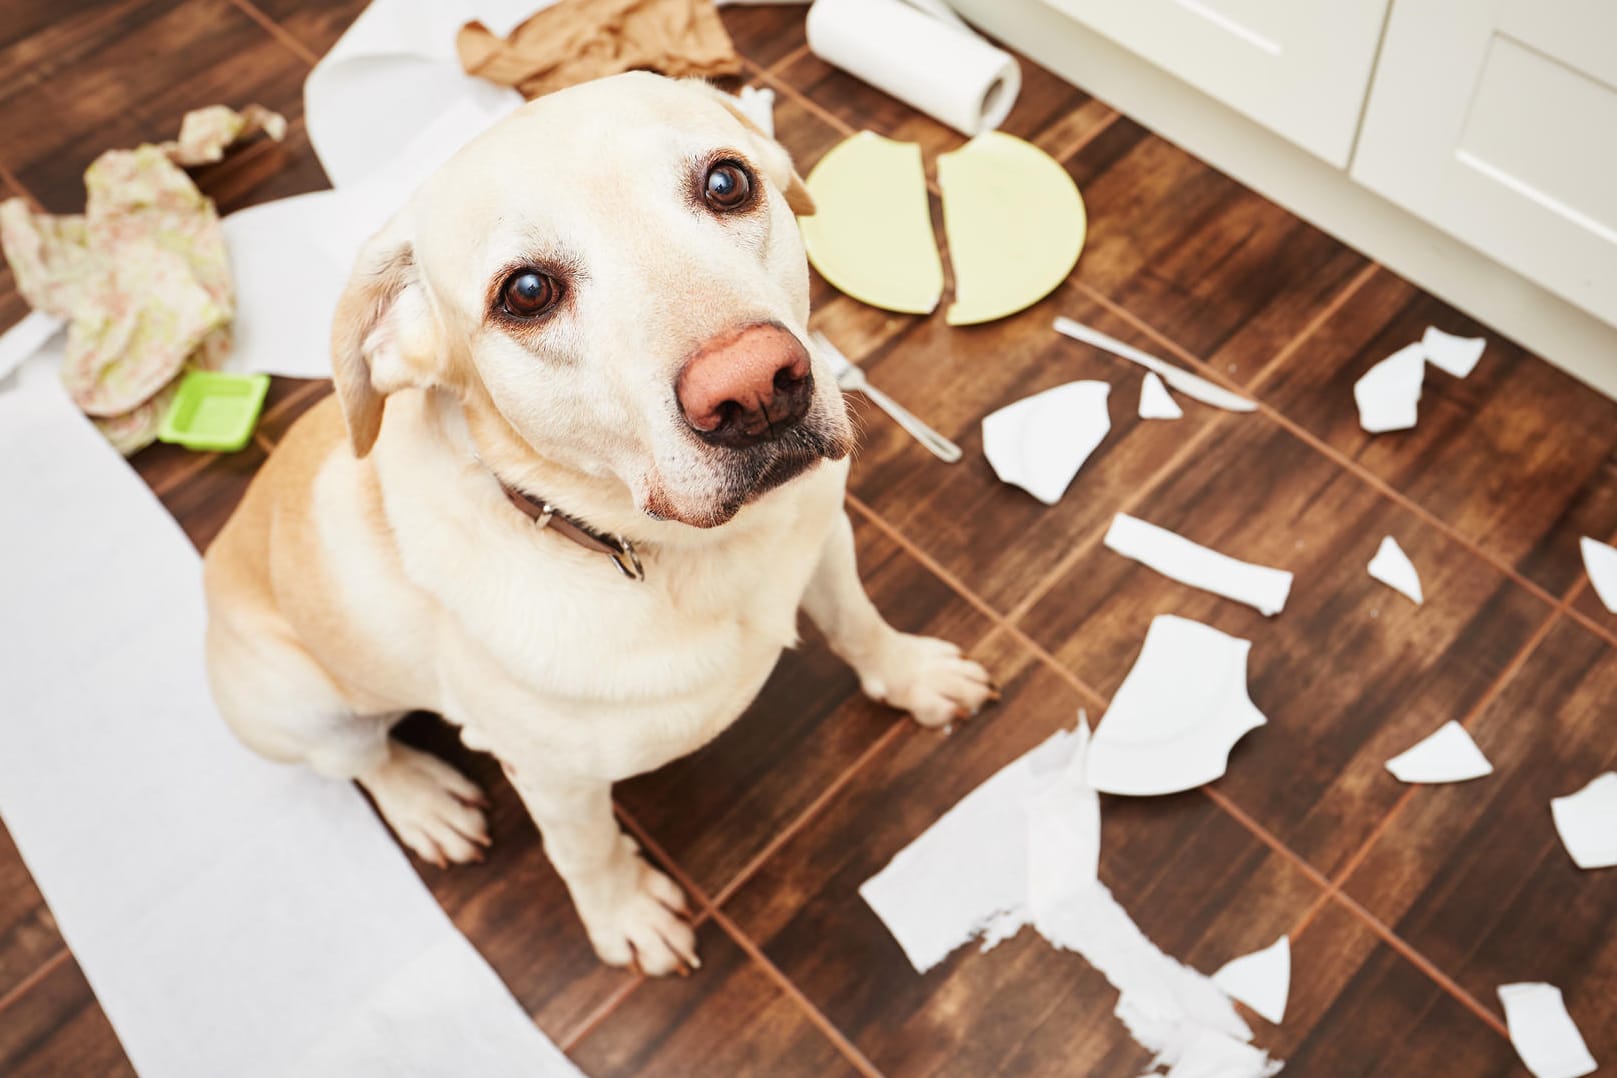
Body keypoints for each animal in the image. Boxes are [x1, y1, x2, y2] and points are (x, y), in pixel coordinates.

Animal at [208, 71, 989, 976]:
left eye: (727, 182)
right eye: (526, 293)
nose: (754, 388)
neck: (688, 551)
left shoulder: (824, 544)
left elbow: (860, 624)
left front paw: (912, 677)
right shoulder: (555, 780)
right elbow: (584, 851)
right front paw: (624, 916)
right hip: (301, 706)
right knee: (363, 762)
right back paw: (423, 802)